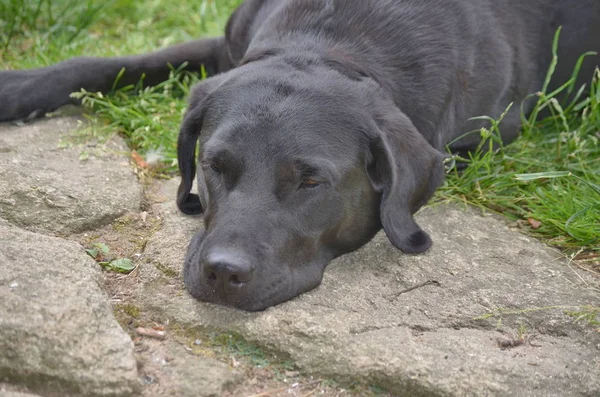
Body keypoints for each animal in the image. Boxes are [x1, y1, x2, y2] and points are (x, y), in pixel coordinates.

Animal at [0, 0, 596, 310]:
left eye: (310, 182)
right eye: (214, 166)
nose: (222, 272)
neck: (329, 41)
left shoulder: (488, 130)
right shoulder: (225, 48)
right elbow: (116, 62)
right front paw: (19, 86)